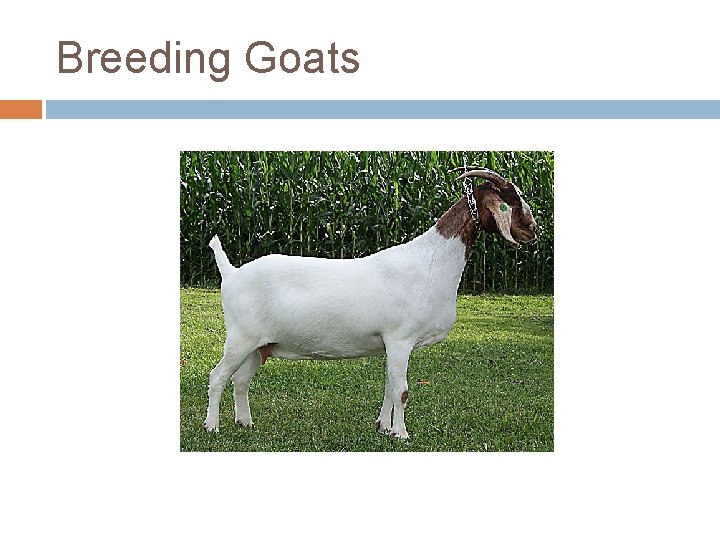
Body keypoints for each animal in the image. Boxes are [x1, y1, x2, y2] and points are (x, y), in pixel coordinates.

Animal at [204, 168, 538, 439]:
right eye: (509, 199)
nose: (532, 230)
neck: (430, 262)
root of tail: (232, 273)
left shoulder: (391, 344)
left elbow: (390, 387)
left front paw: (384, 428)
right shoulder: (400, 339)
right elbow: (402, 391)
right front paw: (402, 434)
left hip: (260, 345)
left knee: (240, 380)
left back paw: (245, 422)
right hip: (240, 338)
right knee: (218, 376)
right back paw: (212, 427)